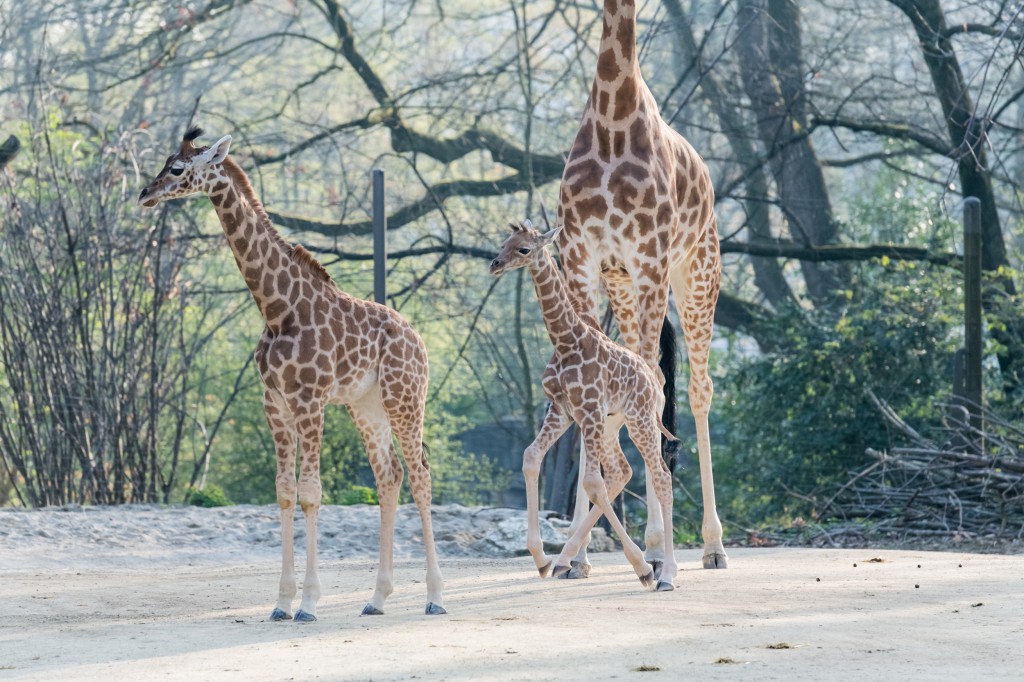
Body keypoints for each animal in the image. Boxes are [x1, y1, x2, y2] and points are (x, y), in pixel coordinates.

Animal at [137, 124, 444, 618]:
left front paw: (309, 602)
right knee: (389, 476)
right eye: (165, 163)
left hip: (405, 396)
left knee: (420, 475)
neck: (278, 309)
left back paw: (435, 596)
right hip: (366, 405)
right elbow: (284, 492)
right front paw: (282, 601)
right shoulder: (275, 404)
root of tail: (418, 339)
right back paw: (376, 598)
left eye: (179, 169)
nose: (145, 193)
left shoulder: (309, 401)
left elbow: (311, 493)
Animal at [489, 219, 679, 589]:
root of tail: (654, 383)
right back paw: (566, 559)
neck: (565, 340)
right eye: (504, 242)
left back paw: (665, 573)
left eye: (524, 249)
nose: (495, 265)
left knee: (661, 476)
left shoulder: (588, 410)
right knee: (623, 471)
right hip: (611, 425)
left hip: (639, 420)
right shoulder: (562, 411)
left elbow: (592, 483)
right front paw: (542, 558)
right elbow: (531, 458)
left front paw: (643, 568)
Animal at [552, 0, 729, 569]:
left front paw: (655, 544)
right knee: (635, 371)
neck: (613, 115)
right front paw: (577, 552)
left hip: (697, 270)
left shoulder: (650, 255)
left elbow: (656, 381)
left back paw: (709, 545)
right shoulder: (583, 259)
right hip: (625, 286)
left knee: (692, 387)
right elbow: (594, 380)